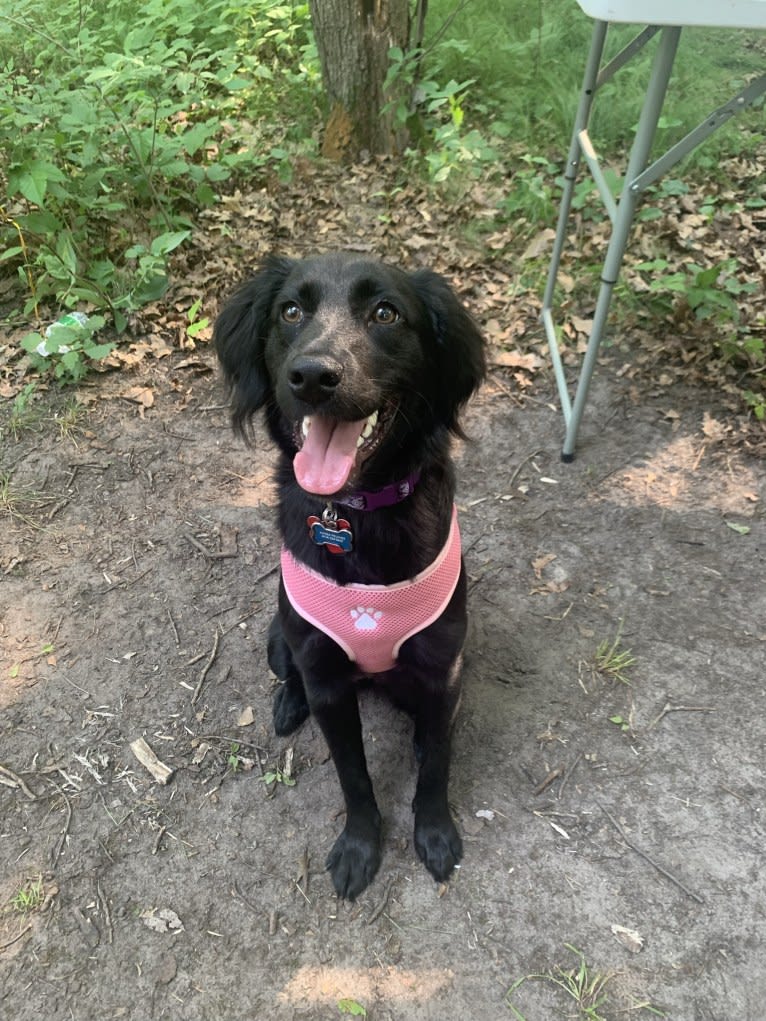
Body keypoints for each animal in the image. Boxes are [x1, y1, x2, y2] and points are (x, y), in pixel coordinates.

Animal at [213, 255, 482, 902]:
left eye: (386, 313)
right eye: (290, 310)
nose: (312, 376)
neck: (355, 513)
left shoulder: (443, 666)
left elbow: (438, 764)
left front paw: (435, 832)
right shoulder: (327, 678)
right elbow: (353, 776)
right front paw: (360, 848)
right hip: (279, 638)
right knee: (288, 673)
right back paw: (289, 705)